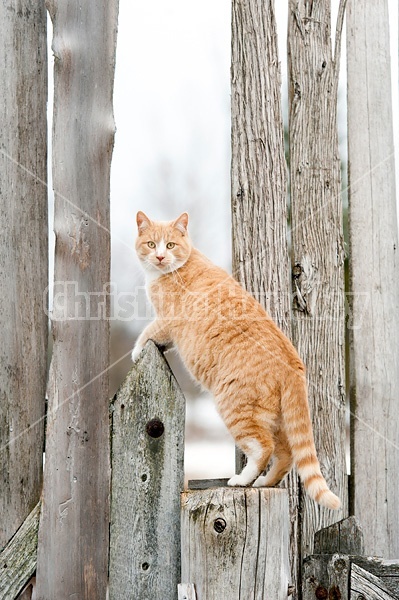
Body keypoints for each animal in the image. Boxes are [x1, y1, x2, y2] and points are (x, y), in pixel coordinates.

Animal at [133, 212, 342, 510]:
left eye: (170, 245)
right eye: (151, 244)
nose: (160, 256)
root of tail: (294, 362)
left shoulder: (166, 321)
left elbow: (147, 334)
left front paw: (137, 350)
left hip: (236, 409)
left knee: (263, 448)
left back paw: (242, 480)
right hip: (276, 420)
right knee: (286, 455)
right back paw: (265, 482)